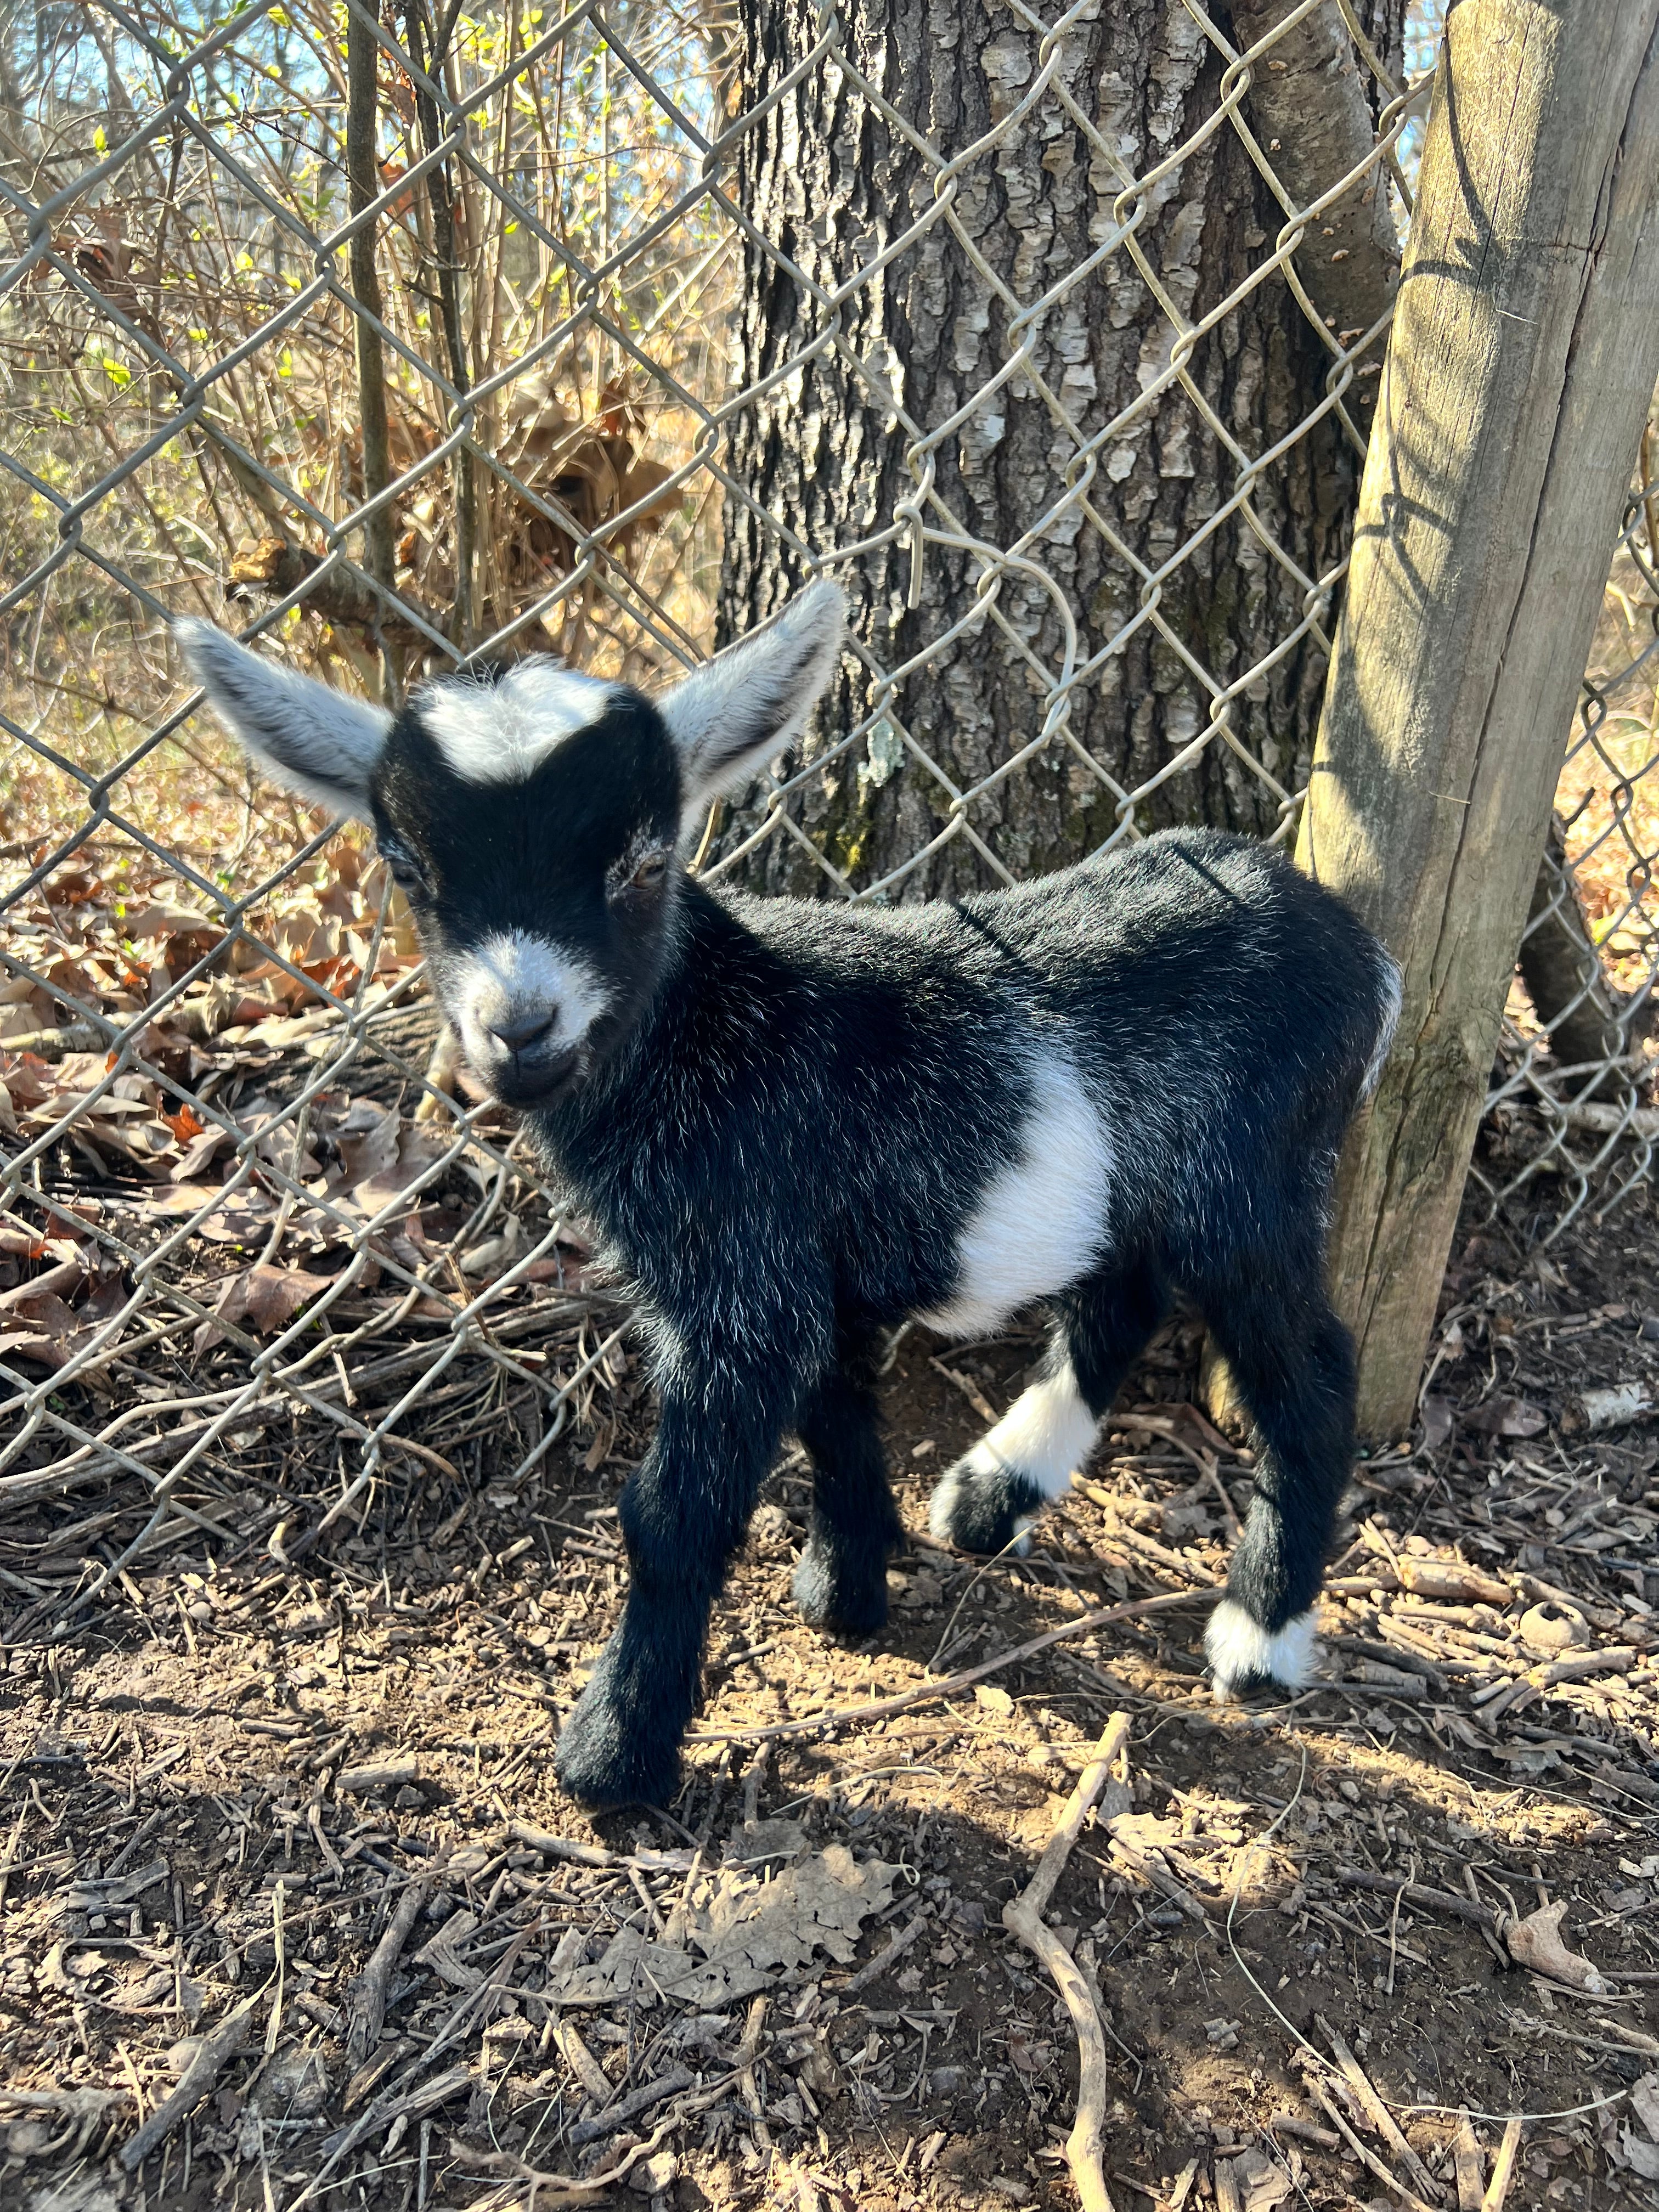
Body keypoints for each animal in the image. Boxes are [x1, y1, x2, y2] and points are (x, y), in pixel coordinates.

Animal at [176, 583, 1400, 1810]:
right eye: (410, 872)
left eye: (643, 860)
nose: (520, 1029)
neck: (719, 1026)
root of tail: (1358, 947)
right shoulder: (802, 1272)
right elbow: (836, 1414)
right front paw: (848, 1592)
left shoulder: (742, 1288)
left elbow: (675, 1513)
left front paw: (615, 1750)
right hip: (1144, 1178)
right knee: (1121, 1298)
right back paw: (993, 1492)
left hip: (1255, 1180)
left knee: (1311, 1369)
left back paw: (1259, 1631)